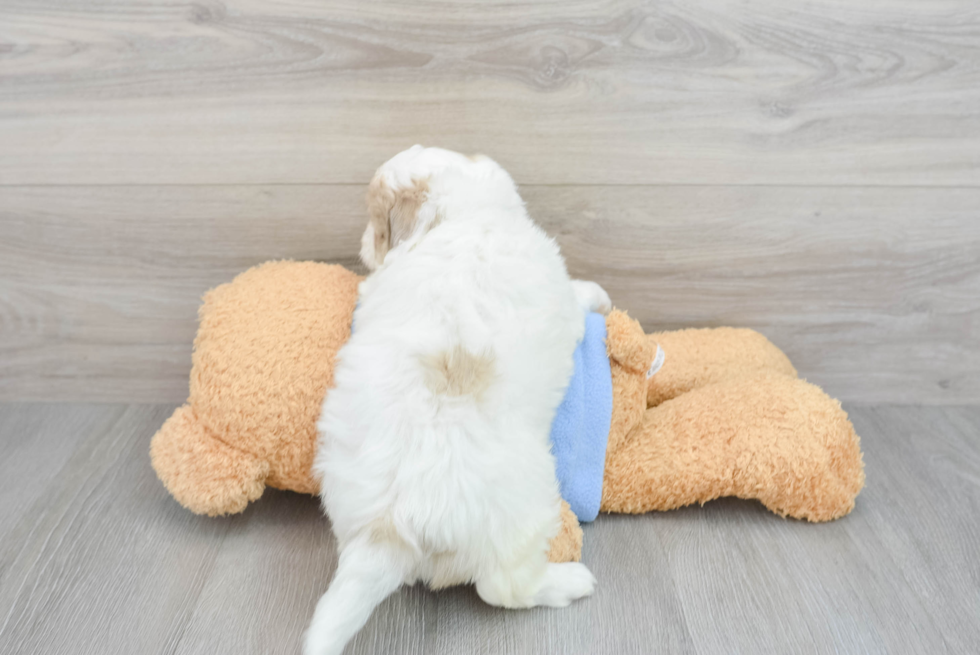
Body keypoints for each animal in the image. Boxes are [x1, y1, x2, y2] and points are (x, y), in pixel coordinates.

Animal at [306, 146, 612, 652]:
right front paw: (599, 294)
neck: (460, 217)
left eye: (377, 224)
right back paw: (569, 581)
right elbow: (577, 295)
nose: (364, 244)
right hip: (526, 511)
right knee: (502, 587)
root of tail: (390, 525)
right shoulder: (560, 292)